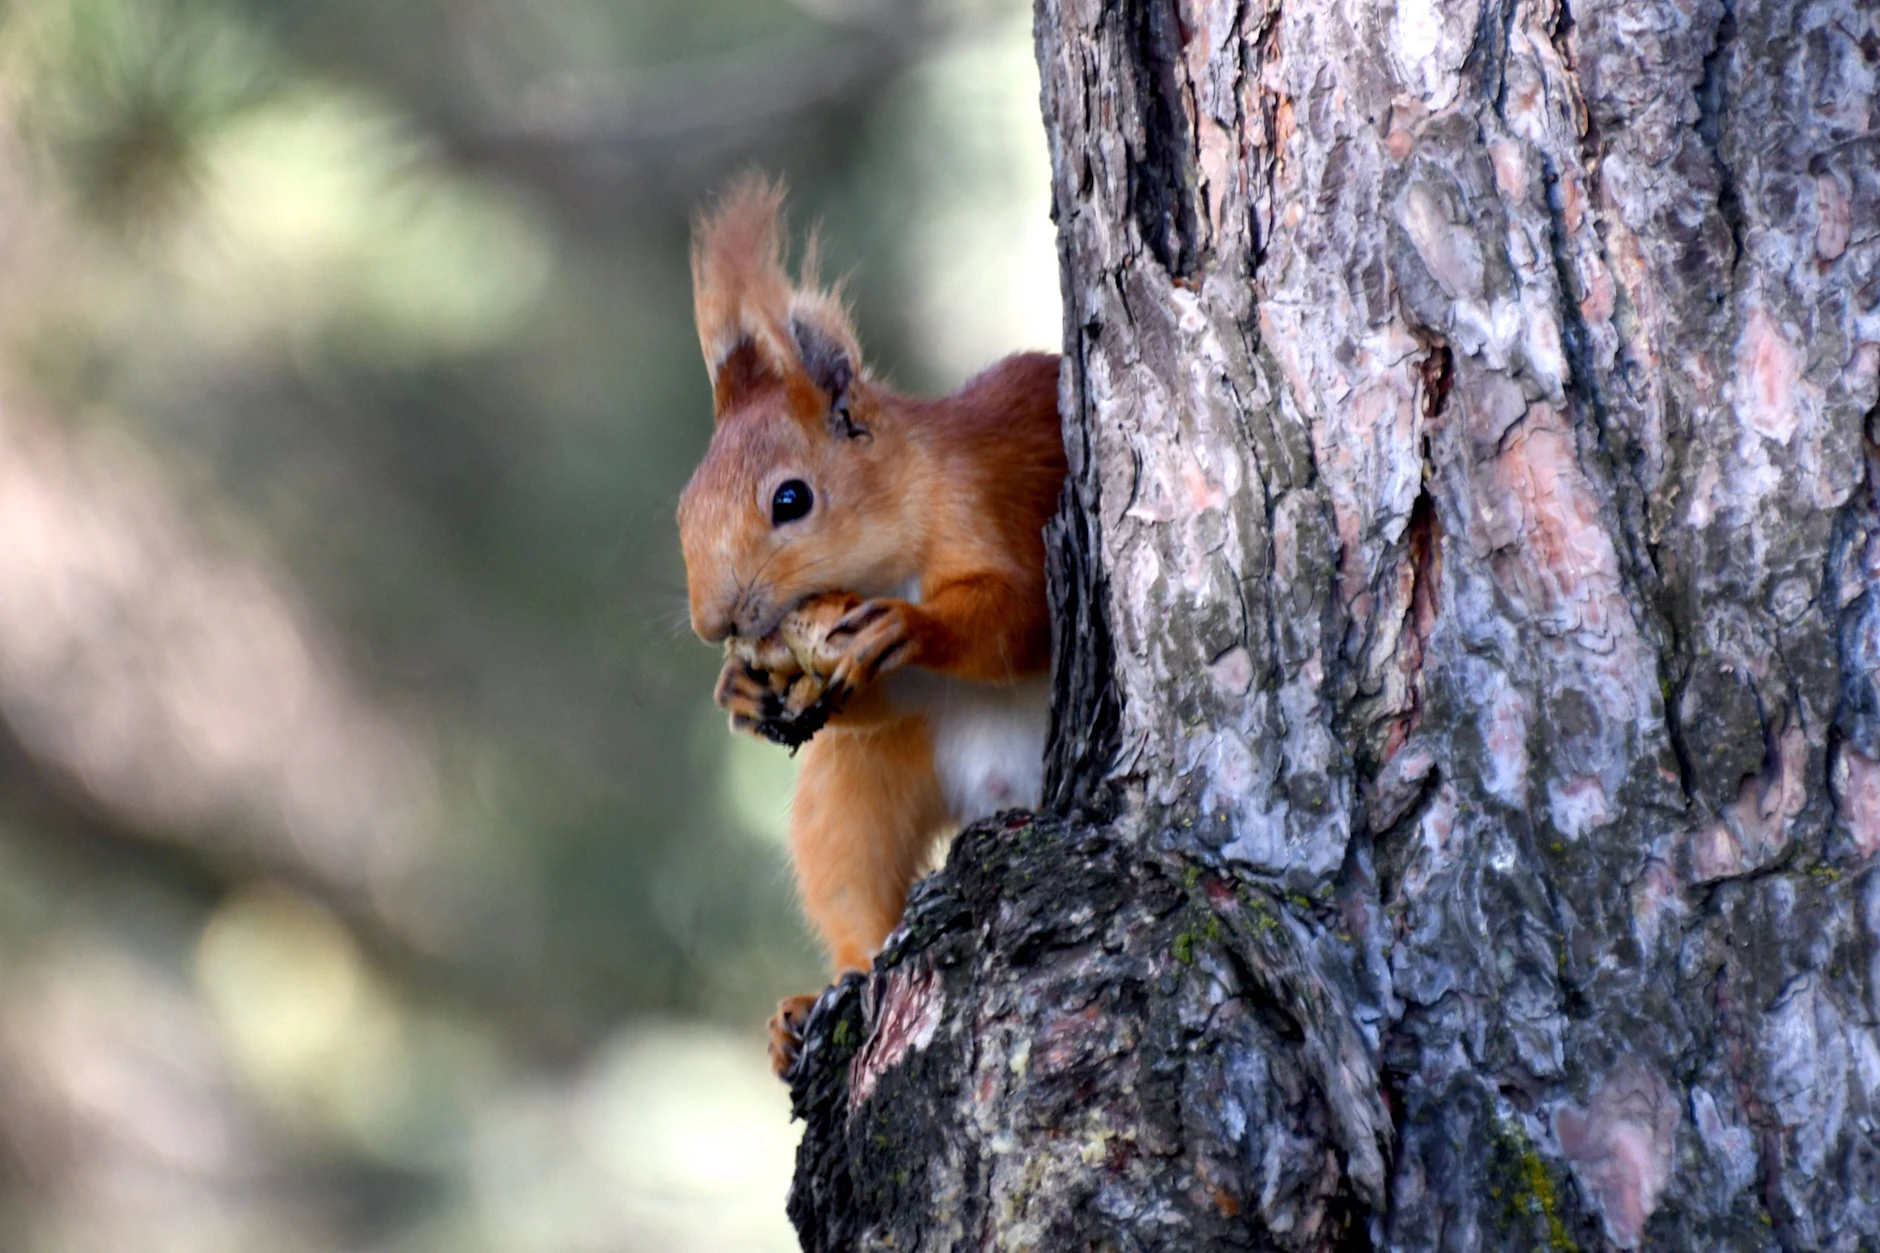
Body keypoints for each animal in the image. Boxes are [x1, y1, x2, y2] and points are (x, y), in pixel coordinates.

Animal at [675, 176, 1065, 1073]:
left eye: (792, 499)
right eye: (682, 507)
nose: (715, 624)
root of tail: (1001, 791)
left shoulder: (992, 506)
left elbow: (1020, 618)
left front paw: (909, 625)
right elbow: (870, 697)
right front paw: (740, 687)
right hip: (862, 780)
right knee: (854, 883)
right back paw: (813, 999)